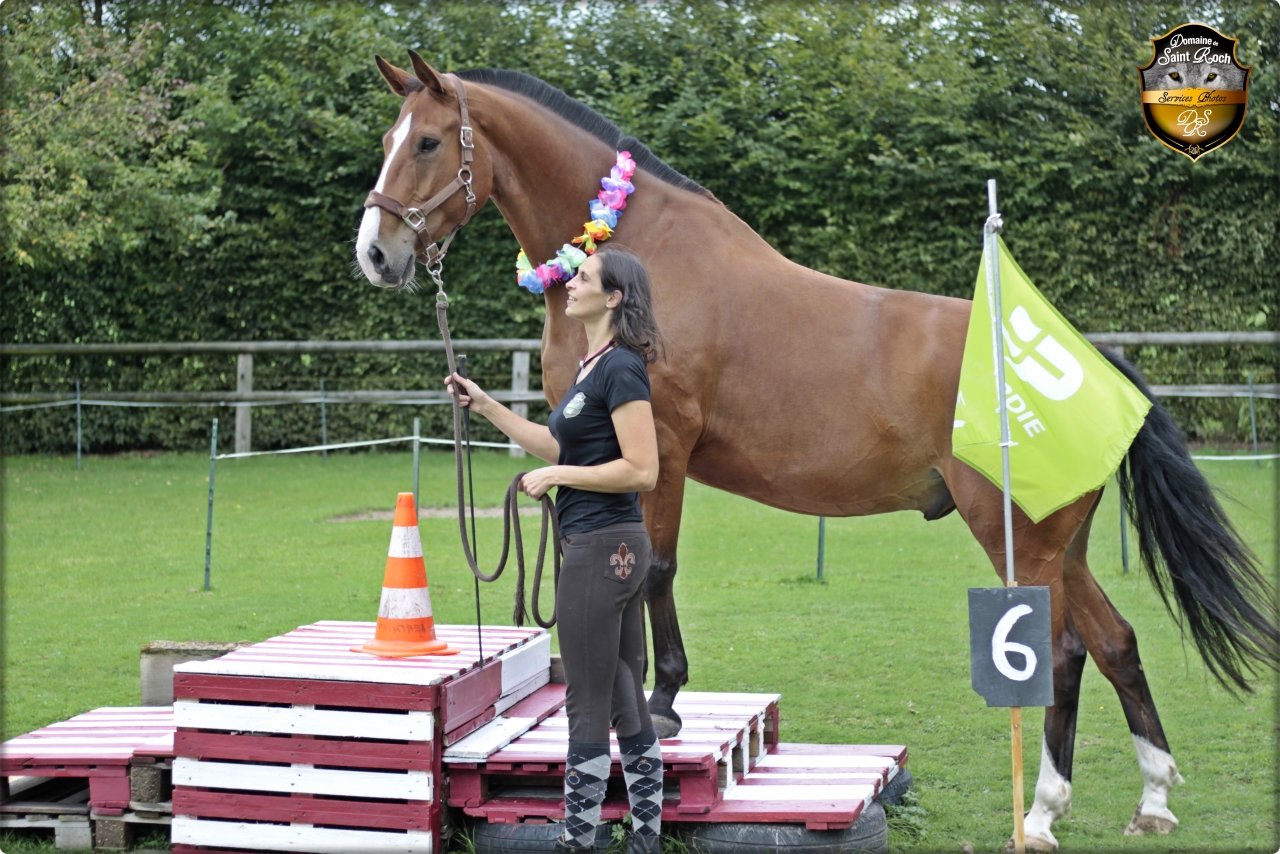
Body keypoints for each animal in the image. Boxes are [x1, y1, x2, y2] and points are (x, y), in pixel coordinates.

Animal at [353, 53, 1278, 850]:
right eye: (390, 139)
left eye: (427, 142)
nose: (376, 254)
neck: (633, 255)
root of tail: (1093, 358)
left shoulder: (665, 450)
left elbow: (653, 568)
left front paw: (662, 702)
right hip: (1066, 543)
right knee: (1114, 642)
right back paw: (1150, 800)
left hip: (1022, 539)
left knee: (1062, 652)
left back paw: (1043, 813)